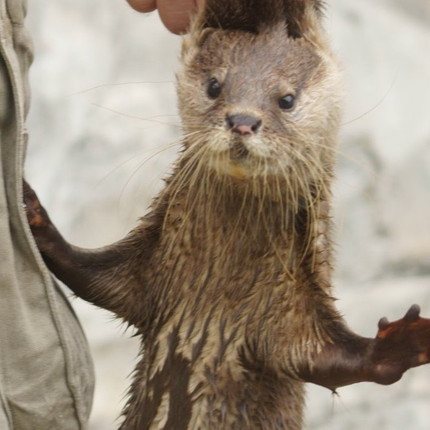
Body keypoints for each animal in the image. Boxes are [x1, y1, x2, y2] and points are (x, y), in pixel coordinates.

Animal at [22, 0, 430, 430]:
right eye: (215, 86)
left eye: (286, 99)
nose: (242, 120)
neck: (217, 290)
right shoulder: (148, 266)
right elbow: (89, 273)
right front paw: (33, 211)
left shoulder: (294, 307)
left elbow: (332, 360)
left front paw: (404, 342)